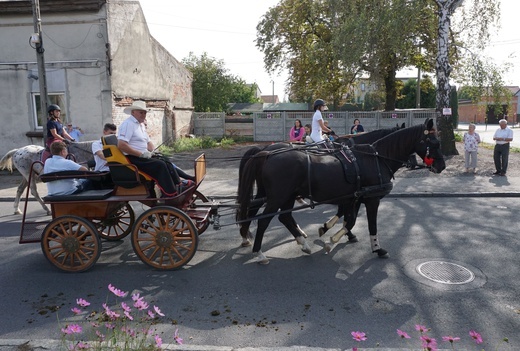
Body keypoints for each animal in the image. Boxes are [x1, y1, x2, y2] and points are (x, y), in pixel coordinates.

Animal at [238, 119, 444, 264]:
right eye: (433, 142)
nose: (442, 166)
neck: (374, 158)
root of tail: (267, 152)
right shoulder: (371, 199)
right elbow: (368, 224)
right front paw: (376, 248)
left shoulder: (354, 197)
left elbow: (348, 219)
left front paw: (333, 233)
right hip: (277, 197)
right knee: (264, 220)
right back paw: (259, 252)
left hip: (284, 195)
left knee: (281, 216)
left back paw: (299, 242)